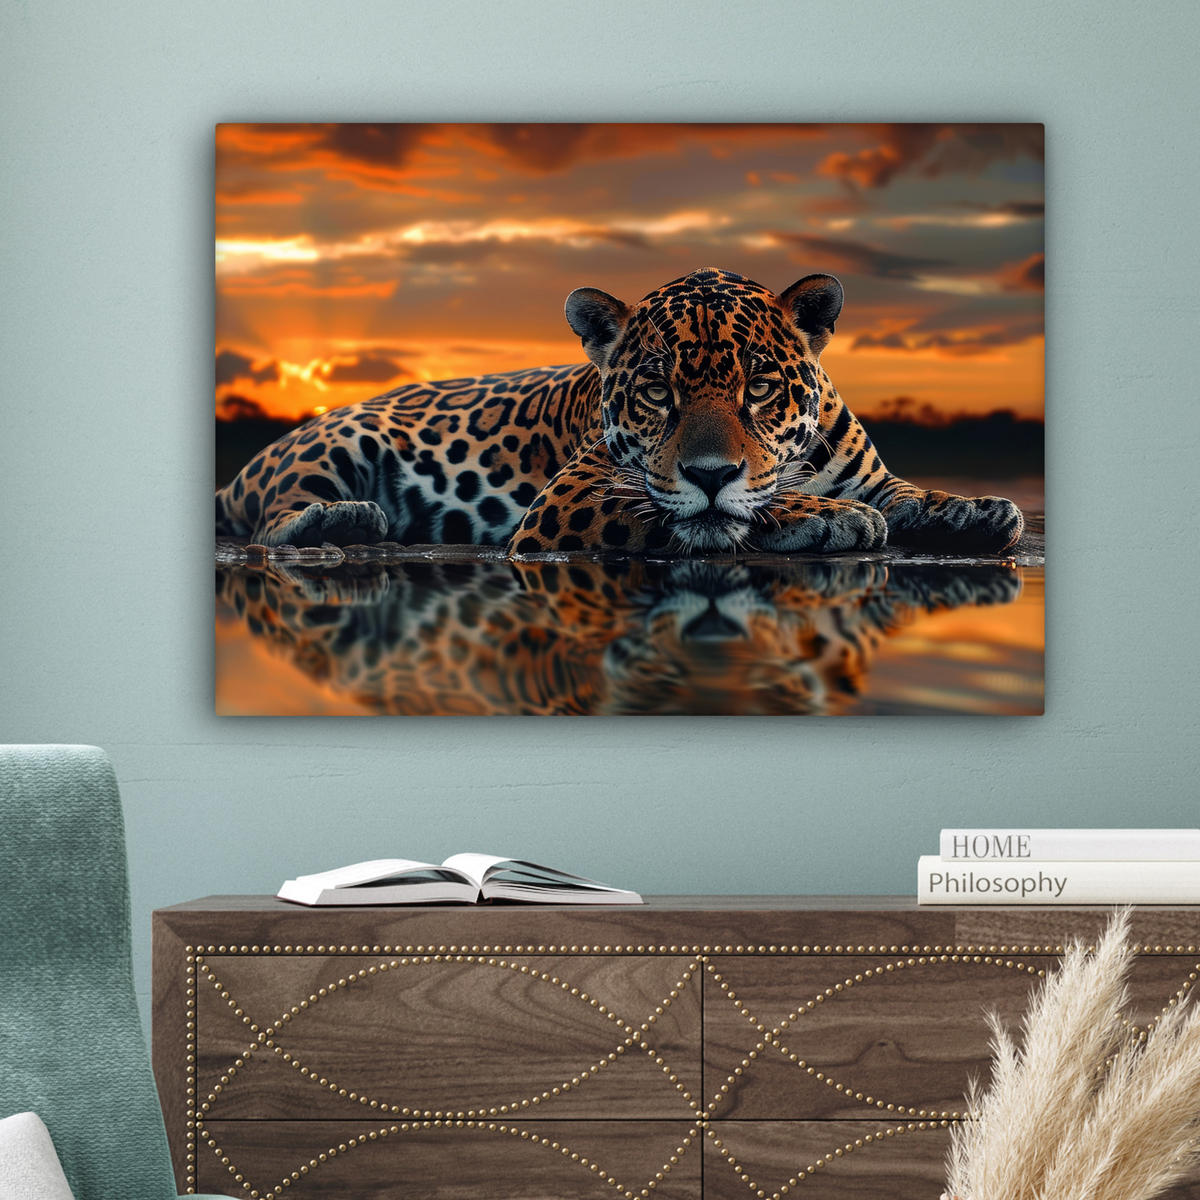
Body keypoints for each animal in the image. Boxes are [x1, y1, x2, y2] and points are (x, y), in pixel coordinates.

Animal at [215, 267, 1024, 557]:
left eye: (759, 387)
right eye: (657, 392)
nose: (710, 472)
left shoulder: (872, 476)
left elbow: (911, 493)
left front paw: (978, 509)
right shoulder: (572, 498)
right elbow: (725, 510)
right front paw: (826, 518)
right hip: (335, 442)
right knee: (271, 519)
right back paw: (344, 519)